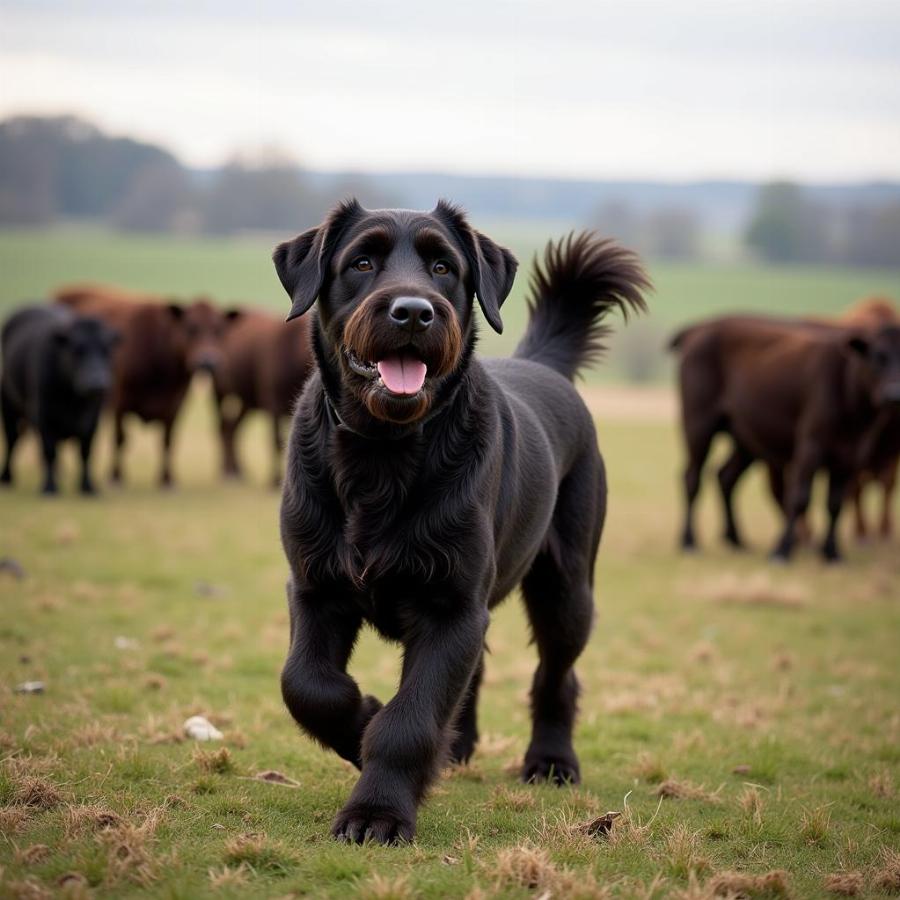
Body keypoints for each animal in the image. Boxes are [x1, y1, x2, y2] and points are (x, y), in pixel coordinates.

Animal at [1, 306, 118, 496]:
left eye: (106, 350)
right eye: (77, 349)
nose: (97, 384)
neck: (73, 399)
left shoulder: (93, 420)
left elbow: (86, 452)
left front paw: (87, 486)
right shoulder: (44, 417)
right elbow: (49, 451)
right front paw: (49, 487)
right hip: (9, 409)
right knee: (12, 441)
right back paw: (6, 477)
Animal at [55, 284, 239, 488]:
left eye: (219, 330)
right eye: (191, 328)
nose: (208, 362)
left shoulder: (175, 404)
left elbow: (167, 440)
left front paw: (167, 479)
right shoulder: (119, 401)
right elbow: (120, 439)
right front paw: (116, 477)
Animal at [211, 312, 312, 488]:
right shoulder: (274, 405)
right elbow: (276, 441)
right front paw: (274, 480)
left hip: (247, 402)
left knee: (233, 428)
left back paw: (237, 470)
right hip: (220, 392)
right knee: (222, 427)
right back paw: (227, 471)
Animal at [272, 202, 648, 844]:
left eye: (444, 267)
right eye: (361, 262)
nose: (413, 311)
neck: (383, 453)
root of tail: (542, 366)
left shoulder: (450, 607)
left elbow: (410, 721)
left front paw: (377, 811)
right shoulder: (315, 588)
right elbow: (307, 686)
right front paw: (364, 721)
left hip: (566, 590)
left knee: (557, 676)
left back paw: (551, 761)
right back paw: (458, 746)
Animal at [672, 312, 900, 560]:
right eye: (878, 357)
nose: (893, 395)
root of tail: (696, 332)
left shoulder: (851, 456)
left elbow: (835, 503)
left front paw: (831, 552)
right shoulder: (810, 447)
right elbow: (800, 497)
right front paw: (782, 550)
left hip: (745, 440)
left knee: (725, 477)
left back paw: (736, 539)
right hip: (698, 426)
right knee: (692, 478)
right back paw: (688, 541)